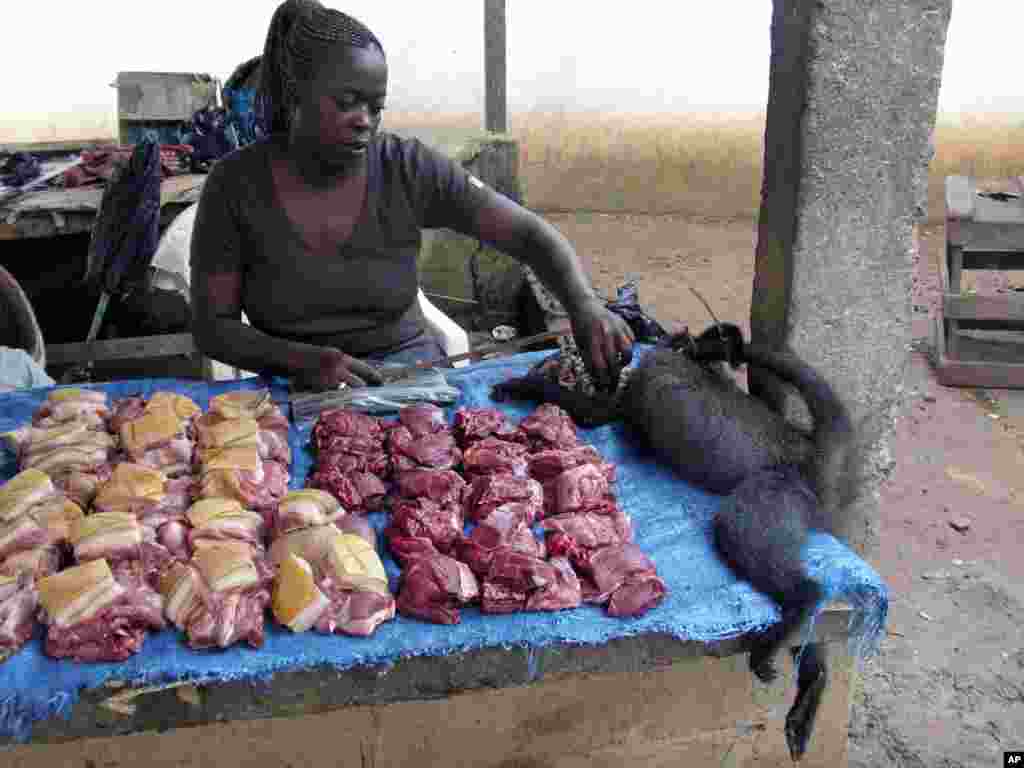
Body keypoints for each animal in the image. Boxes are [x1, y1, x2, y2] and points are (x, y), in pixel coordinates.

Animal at [492, 323, 860, 762]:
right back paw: (813, 679)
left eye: (554, 361)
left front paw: (525, 384)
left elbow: (595, 413)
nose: (541, 363)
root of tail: (807, 453)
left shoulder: (632, 390)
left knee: (745, 535)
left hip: (779, 492)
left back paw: (799, 606)